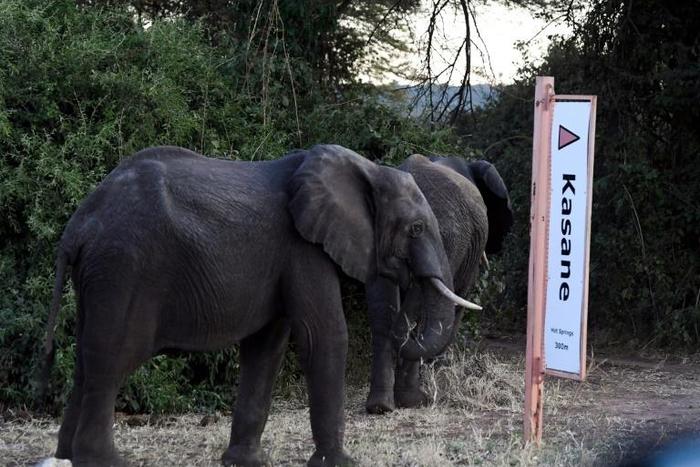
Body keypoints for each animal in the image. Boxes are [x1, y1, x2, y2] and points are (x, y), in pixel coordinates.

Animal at [41, 144, 478, 466]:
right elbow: (323, 336)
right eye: (415, 228)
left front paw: (245, 462)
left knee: (85, 359)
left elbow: (267, 347)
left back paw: (65, 457)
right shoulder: (302, 248)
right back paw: (105, 462)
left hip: (100, 276)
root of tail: (78, 224)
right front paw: (339, 464)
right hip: (124, 268)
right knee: (111, 360)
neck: (367, 169)